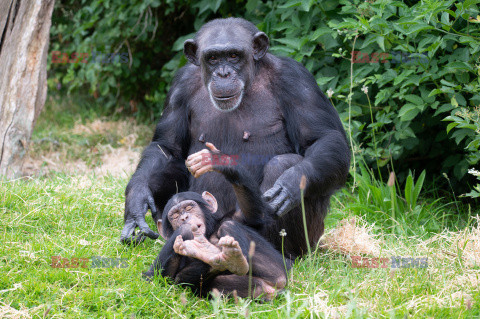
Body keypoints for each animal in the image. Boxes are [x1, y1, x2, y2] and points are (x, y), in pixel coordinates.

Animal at [120, 17, 350, 258]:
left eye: (233, 56)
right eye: (212, 58)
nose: (223, 74)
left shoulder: (296, 80)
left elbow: (322, 138)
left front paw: (292, 182)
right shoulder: (179, 87)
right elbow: (167, 147)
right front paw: (137, 197)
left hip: (311, 238)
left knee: (283, 163)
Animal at [143, 144, 288, 300]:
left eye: (189, 207)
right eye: (175, 215)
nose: (184, 218)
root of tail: (273, 291)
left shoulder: (235, 216)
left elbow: (257, 214)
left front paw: (221, 161)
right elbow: (158, 280)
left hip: (278, 271)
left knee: (228, 226)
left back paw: (232, 259)